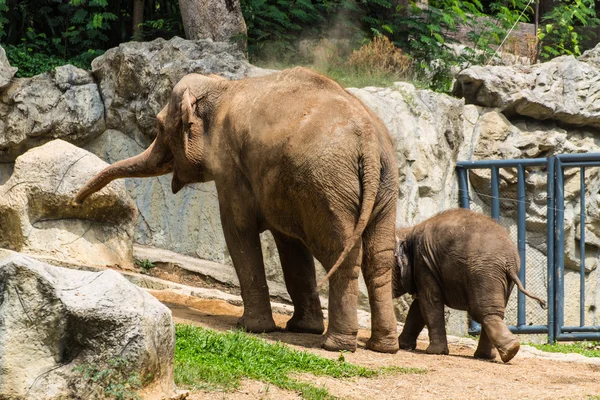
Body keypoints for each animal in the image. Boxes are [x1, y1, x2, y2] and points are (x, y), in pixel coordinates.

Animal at [72, 66, 400, 354]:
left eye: (159, 126)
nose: (77, 201)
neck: (223, 86)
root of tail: (369, 143)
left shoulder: (230, 164)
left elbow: (238, 229)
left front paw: (251, 328)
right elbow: (290, 246)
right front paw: (301, 328)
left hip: (329, 186)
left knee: (343, 254)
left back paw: (336, 345)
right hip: (382, 187)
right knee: (378, 258)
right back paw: (383, 346)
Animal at [392, 208, 548, 364]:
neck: (409, 231)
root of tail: (508, 261)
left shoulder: (423, 263)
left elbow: (429, 300)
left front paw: (434, 352)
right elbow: (419, 306)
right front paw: (403, 345)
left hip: (483, 273)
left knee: (484, 312)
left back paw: (508, 350)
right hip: (502, 278)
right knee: (491, 312)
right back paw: (495, 353)